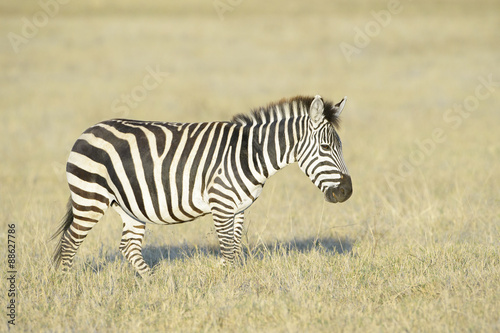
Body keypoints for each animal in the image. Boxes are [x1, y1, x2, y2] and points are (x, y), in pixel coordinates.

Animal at [51, 94, 352, 274]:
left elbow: (235, 248)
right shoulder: (221, 204)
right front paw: (229, 289)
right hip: (90, 198)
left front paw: (232, 281)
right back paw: (68, 286)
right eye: (326, 148)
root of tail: (88, 130)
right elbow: (228, 249)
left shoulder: (239, 208)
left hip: (129, 206)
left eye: (340, 146)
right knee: (70, 242)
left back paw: (153, 284)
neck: (249, 153)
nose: (346, 192)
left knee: (128, 246)